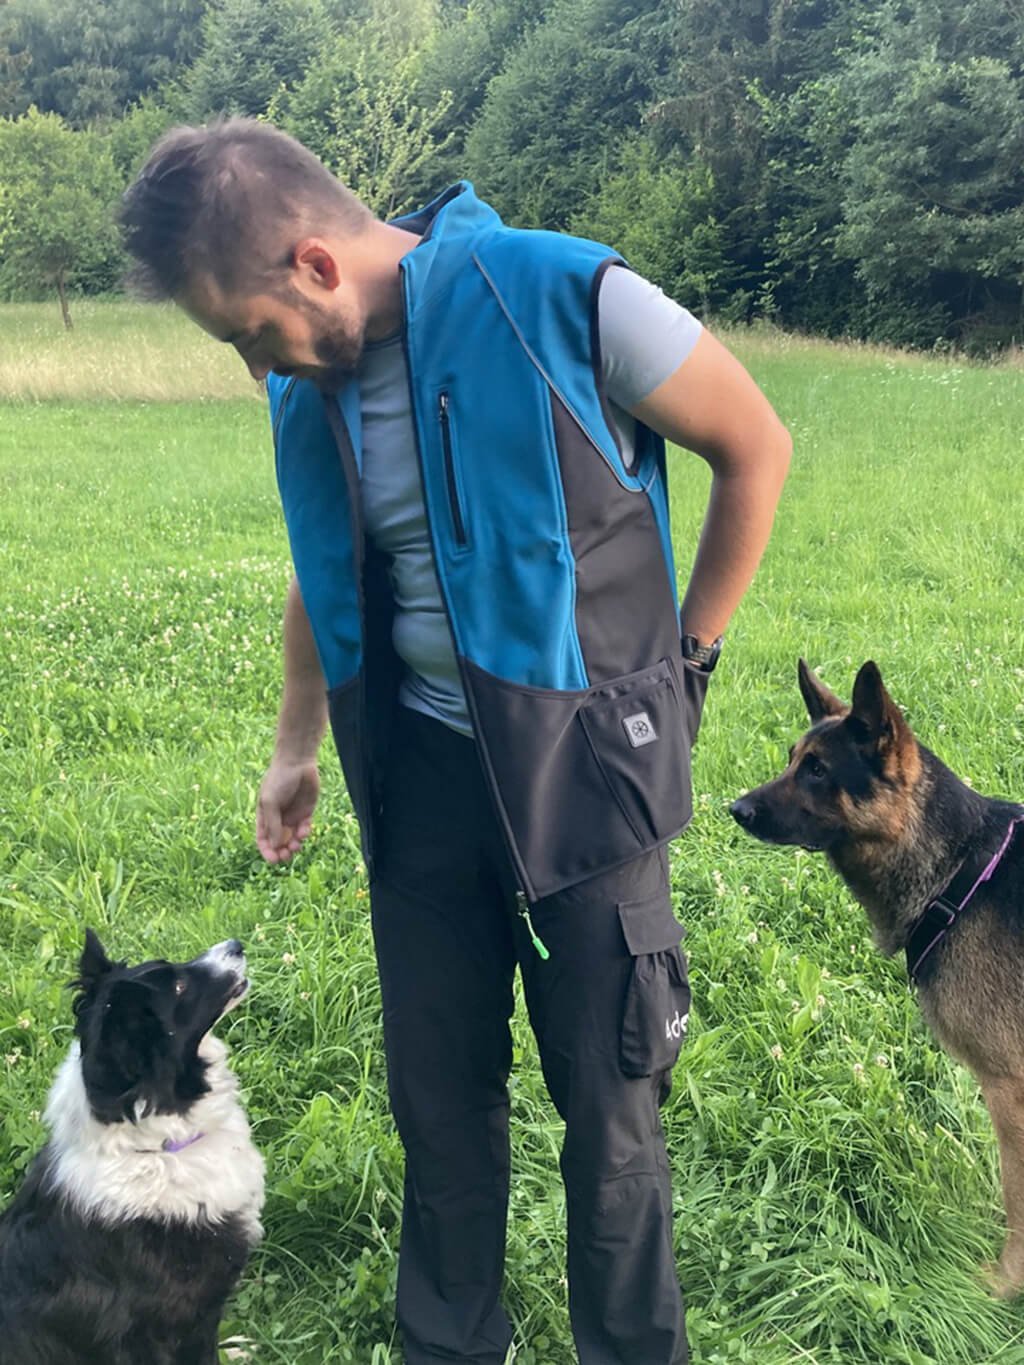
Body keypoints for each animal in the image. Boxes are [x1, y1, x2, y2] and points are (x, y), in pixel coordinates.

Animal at [731, 660, 1024, 1299]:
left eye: (818, 769)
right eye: (792, 758)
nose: (736, 809)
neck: (958, 870)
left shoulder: (1009, 1088)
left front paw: (1004, 1285)